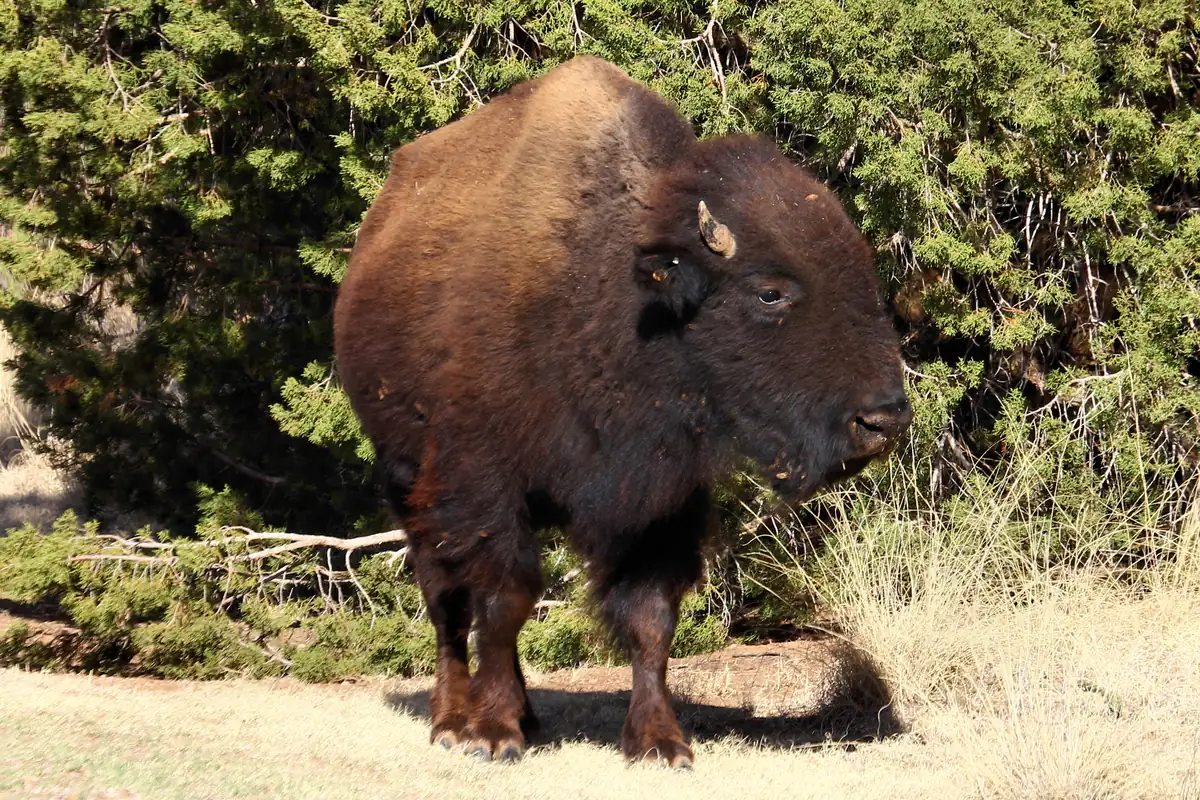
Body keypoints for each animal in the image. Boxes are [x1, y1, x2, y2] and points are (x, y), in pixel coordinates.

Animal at [334, 56, 911, 767]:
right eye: (769, 292)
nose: (883, 420)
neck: (614, 288)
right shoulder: (484, 486)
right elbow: (503, 599)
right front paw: (491, 733)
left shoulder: (660, 504)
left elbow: (650, 619)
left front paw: (660, 742)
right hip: (408, 482)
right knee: (445, 604)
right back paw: (452, 720)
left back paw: (526, 715)